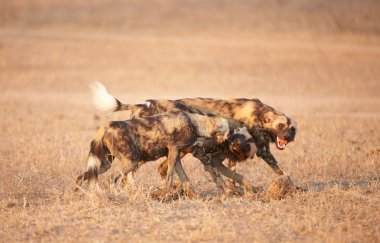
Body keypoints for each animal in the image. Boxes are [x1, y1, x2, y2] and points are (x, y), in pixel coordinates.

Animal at [74, 110, 229, 196]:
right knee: (112, 179)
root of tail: (106, 126)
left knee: (82, 176)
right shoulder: (174, 150)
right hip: (130, 163)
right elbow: (169, 177)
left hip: (104, 164)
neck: (196, 124)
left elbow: (185, 179)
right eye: (224, 141)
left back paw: (77, 194)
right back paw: (117, 195)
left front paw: (193, 196)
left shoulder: (175, 157)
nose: (219, 152)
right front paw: (164, 193)